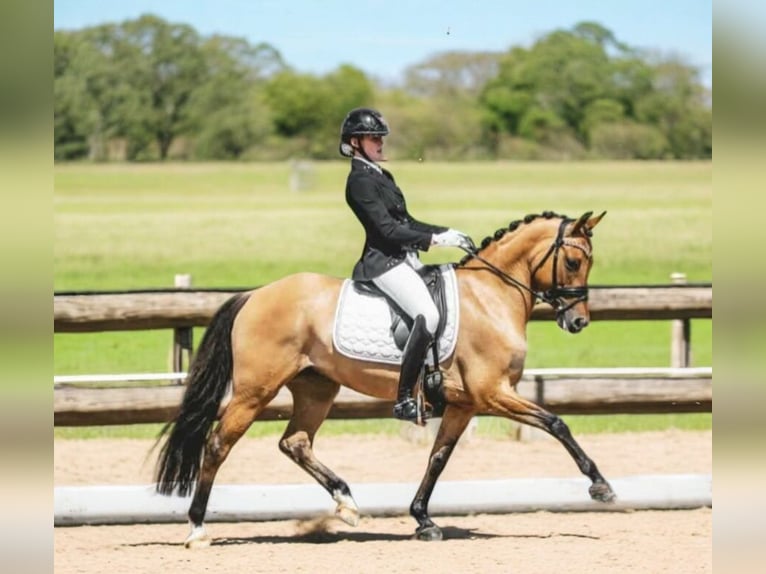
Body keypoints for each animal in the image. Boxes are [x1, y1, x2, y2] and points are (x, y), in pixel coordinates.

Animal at [155, 210, 613, 548]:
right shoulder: (493, 393)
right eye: (574, 261)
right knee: (219, 444)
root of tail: (255, 295)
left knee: (296, 442)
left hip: (317, 388)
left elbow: (438, 459)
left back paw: (347, 503)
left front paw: (424, 520)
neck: (491, 297)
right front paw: (601, 486)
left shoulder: (465, 404)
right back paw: (197, 528)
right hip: (255, 390)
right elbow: (556, 423)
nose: (578, 322)